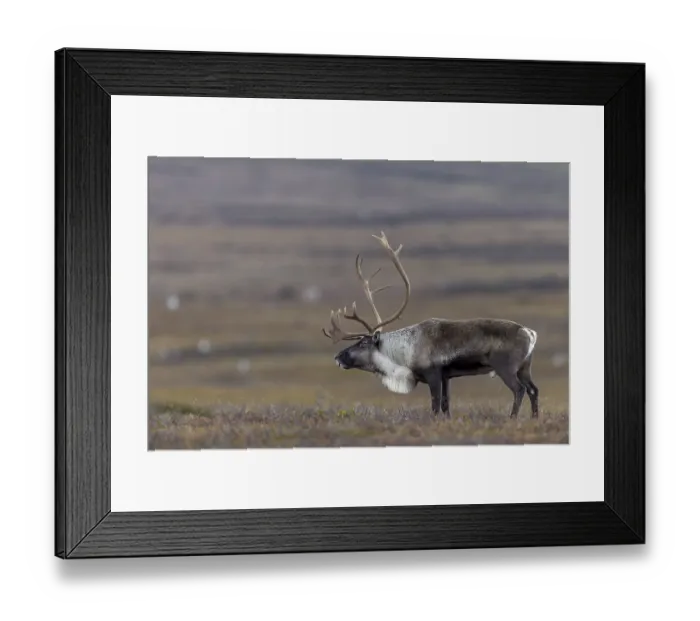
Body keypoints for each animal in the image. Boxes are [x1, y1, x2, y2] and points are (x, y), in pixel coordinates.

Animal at [322, 232, 539, 419]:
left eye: (362, 343)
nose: (337, 357)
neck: (403, 351)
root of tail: (529, 332)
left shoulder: (433, 374)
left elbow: (435, 406)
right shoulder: (446, 377)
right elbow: (445, 404)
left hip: (506, 367)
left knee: (519, 389)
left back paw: (513, 418)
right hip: (525, 367)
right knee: (533, 389)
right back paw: (535, 418)